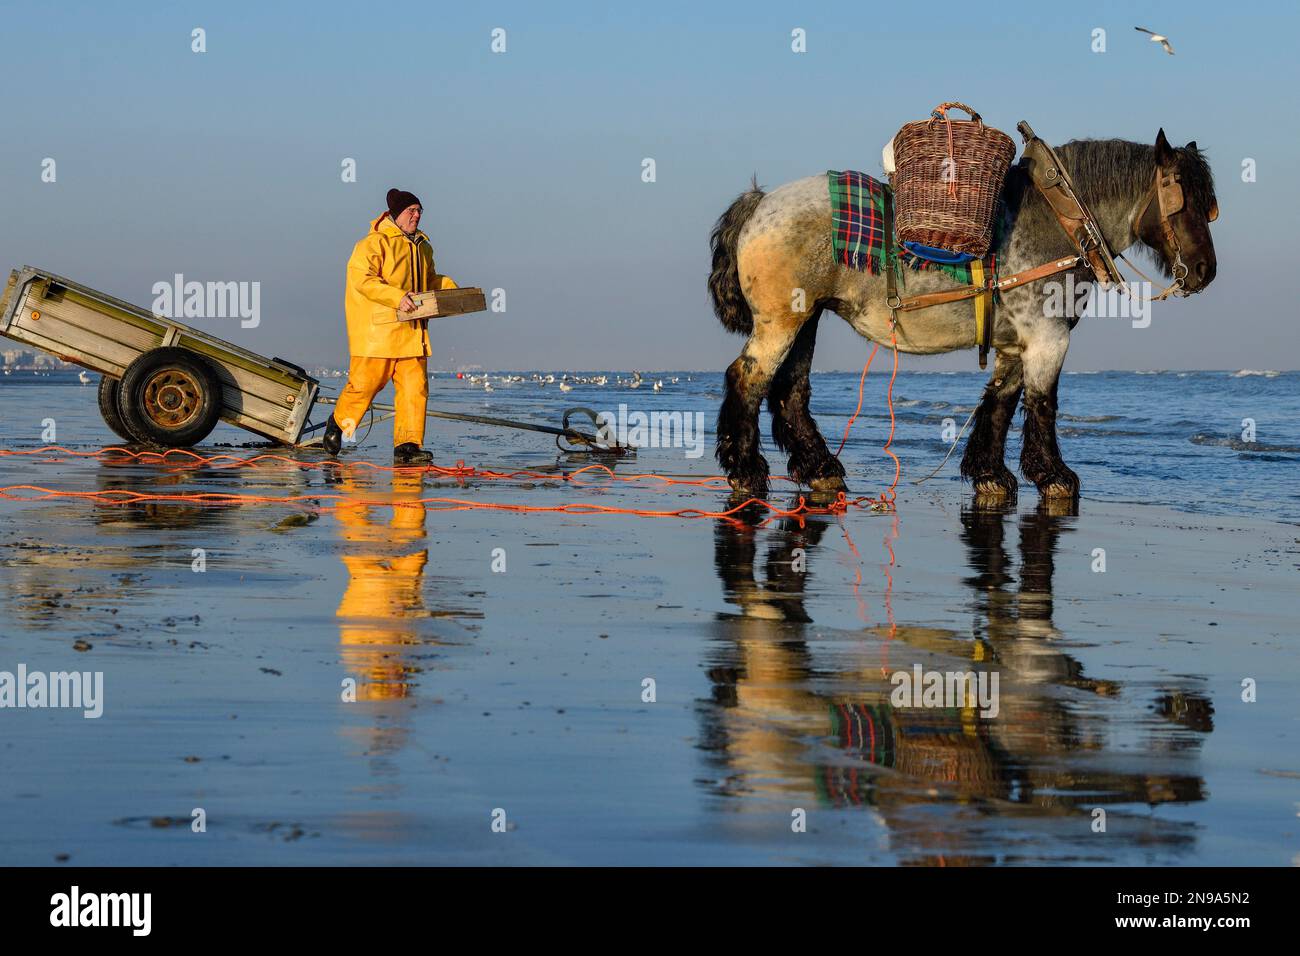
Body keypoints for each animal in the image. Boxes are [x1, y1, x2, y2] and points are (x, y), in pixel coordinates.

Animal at [708, 130, 1218, 502]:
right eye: (1181, 199)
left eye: (1209, 206)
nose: (1205, 271)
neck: (1059, 219)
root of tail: (759, 203)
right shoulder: (1048, 337)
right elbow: (1043, 405)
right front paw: (1054, 476)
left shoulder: (1017, 342)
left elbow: (1000, 403)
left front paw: (989, 473)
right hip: (781, 323)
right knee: (748, 379)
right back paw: (746, 471)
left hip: (806, 318)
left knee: (790, 391)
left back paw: (821, 468)